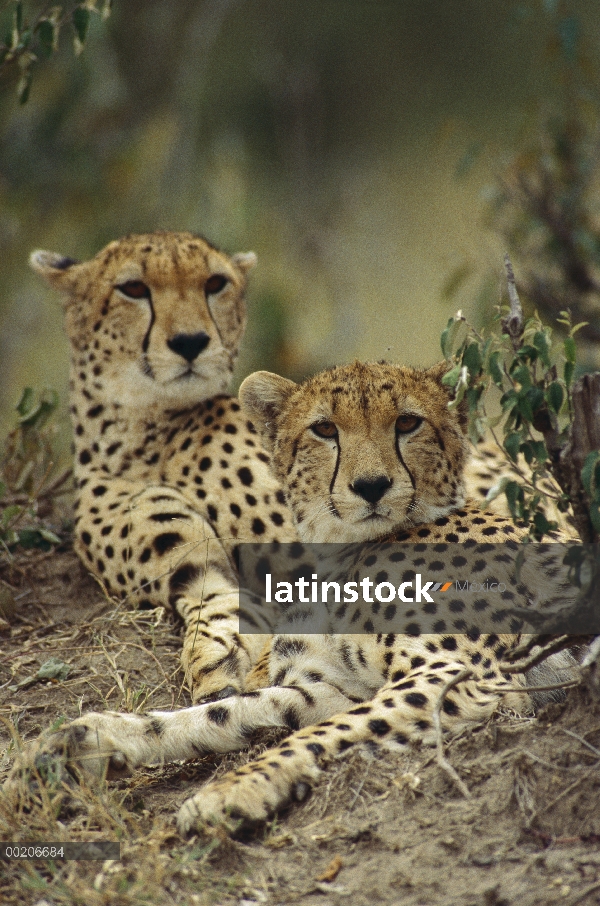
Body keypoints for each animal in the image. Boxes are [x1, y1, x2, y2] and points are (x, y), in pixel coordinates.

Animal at [29, 231, 298, 700]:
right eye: (133, 288)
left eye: (215, 283)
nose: (190, 342)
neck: (142, 436)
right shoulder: (189, 565)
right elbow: (221, 606)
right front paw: (221, 668)